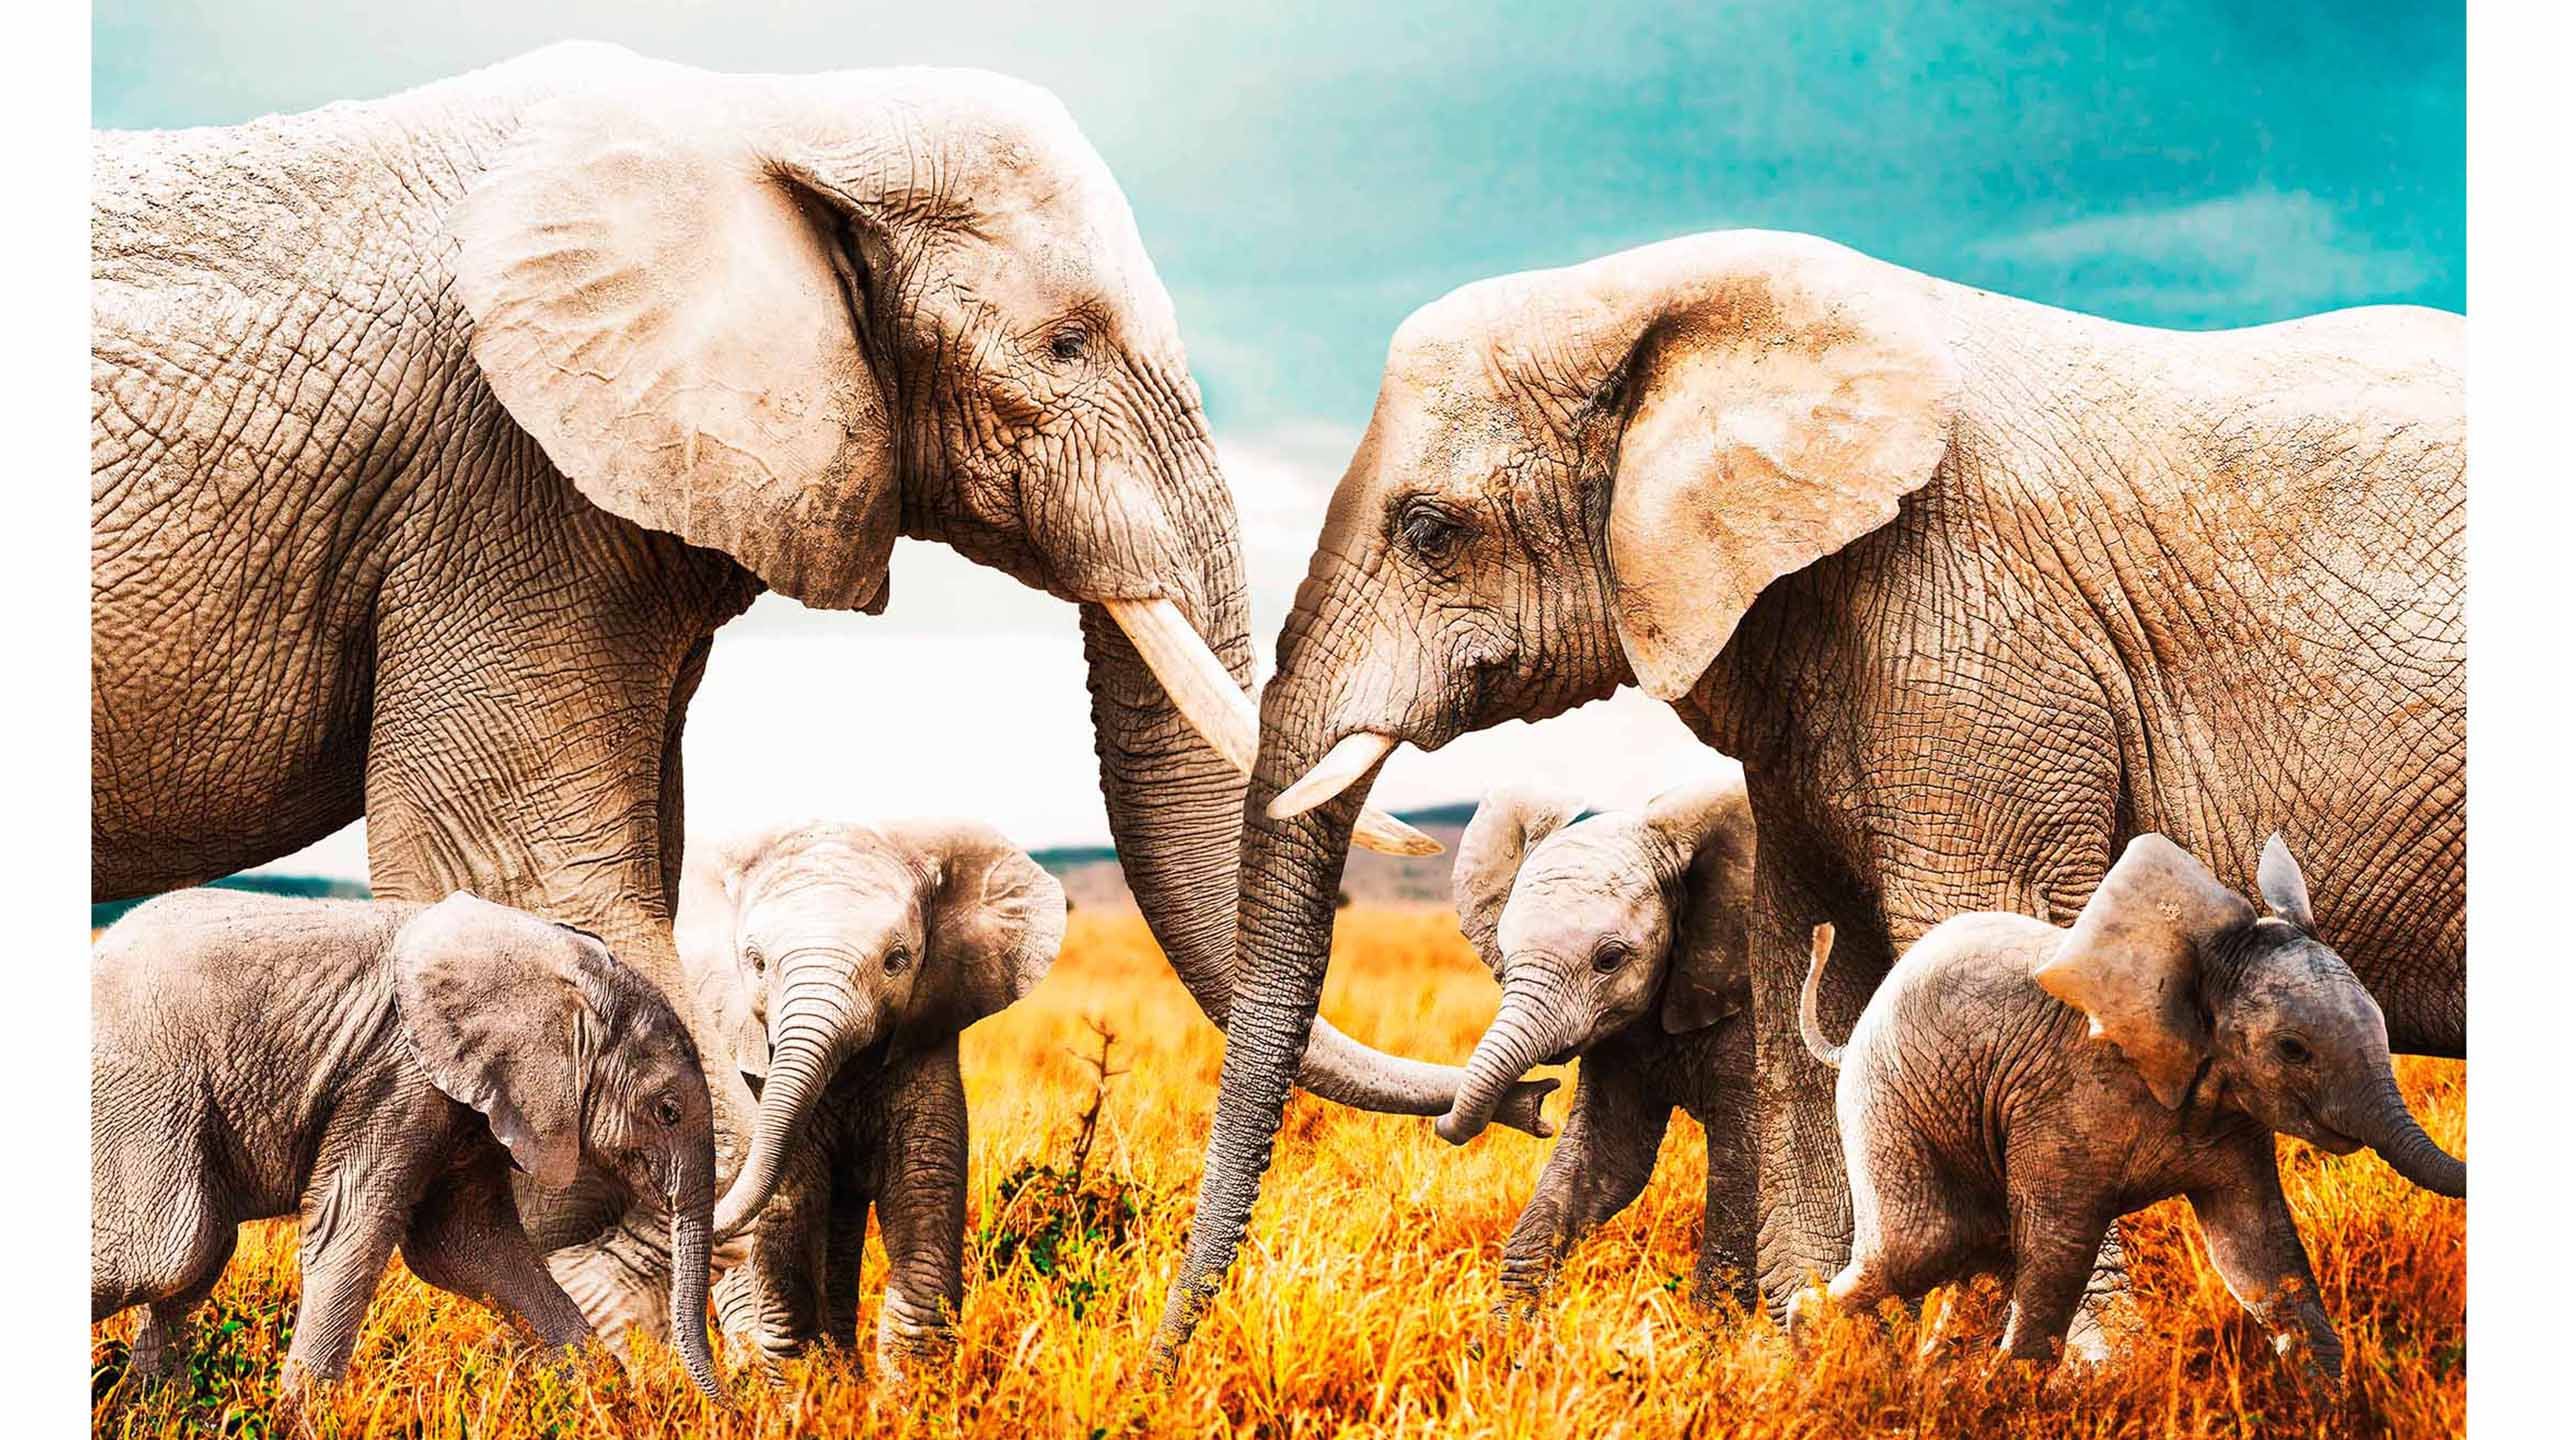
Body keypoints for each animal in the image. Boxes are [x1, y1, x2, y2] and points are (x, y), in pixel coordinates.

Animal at [90, 889, 722, 1398]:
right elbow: (351, 1227)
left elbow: (465, 1245)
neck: (555, 957)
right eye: (666, 1111)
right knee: (168, 1255)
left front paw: (606, 1401)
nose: (724, 1406)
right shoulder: (397, 1074)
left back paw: (149, 1410)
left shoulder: (467, 1101)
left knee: (197, 1259)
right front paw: (306, 1414)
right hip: (143, 1092)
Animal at [662, 817, 1063, 1380]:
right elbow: (791, 1201)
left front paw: (909, 1393)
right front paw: (800, 1391)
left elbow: (923, 1191)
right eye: (756, 963)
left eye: (896, 961)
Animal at [1435, 775, 1756, 1321]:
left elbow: (1747, 1164)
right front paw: (1505, 1333)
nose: (1539, 1107)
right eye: (1504, 952)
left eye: (1609, 959)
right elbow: (1607, 1159)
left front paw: (1710, 1336)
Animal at [1787, 834, 2463, 1373]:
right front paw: (2013, 1397)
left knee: (1978, 1258)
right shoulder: (2062, 1103)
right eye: (2293, 1049)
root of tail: (1850, 1037)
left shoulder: (2232, 1116)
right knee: (1927, 1245)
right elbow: (2059, 1255)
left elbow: (2260, 1252)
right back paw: (1809, 1358)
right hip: (1887, 1103)